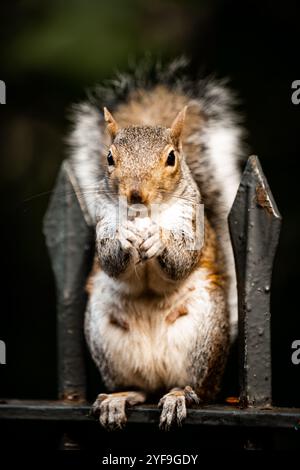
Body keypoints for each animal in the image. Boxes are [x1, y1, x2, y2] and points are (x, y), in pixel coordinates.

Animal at [67, 57, 243, 430]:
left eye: (172, 158)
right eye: (109, 158)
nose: (135, 194)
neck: (144, 215)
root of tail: (158, 375)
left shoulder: (192, 223)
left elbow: (181, 259)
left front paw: (158, 240)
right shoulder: (104, 217)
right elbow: (108, 258)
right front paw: (124, 238)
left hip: (200, 337)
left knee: (196, 388)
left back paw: (179, 396)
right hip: (107, 337)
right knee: (141, 389)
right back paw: (119, 398)